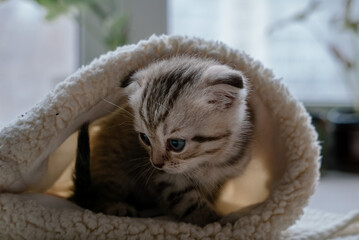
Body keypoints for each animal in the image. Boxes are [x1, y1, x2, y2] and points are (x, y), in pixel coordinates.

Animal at [70, 56, 255, 227]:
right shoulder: (167, 180)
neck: (207, 163)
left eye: (176, 144)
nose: (156, 163)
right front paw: (212, 221)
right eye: (144, 138)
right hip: (113, 162)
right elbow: (188, 202)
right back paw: (116, 206)